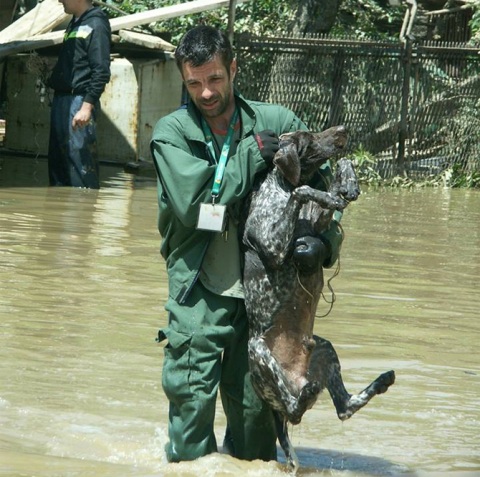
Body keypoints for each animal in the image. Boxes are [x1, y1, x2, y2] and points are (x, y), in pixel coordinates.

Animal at [241, 126, 395, 469]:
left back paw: (379, 381)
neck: (281, 185)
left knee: (344, 407)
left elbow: (329, 193)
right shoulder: (273, 246)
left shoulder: (316, 226)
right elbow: (306, 190)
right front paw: (327, 191)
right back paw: (306, 394)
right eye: (309, 136)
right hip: (258, 349)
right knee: (295, 410)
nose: (343, 130)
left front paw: (348, 181)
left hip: (325, 348)